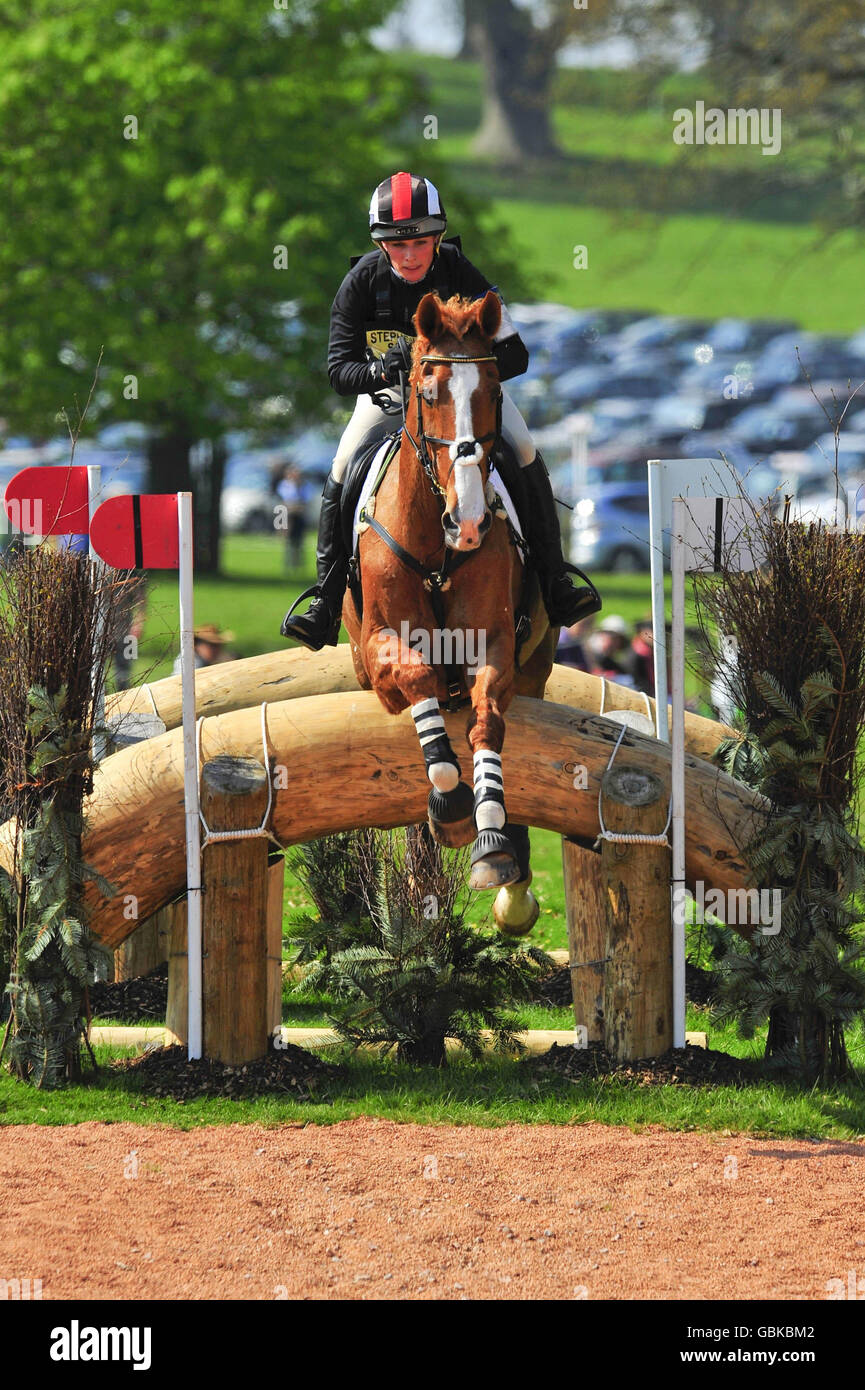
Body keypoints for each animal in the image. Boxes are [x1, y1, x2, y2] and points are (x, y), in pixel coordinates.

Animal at [343, 284, 556, 934]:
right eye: (427, 392)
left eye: (494, 393)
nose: (470, 524)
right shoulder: (380, 654)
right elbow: (418, 683)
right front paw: (452, 801)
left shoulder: (496, 648)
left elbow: (488, 721)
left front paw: (492, 846)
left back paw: (514, 886)